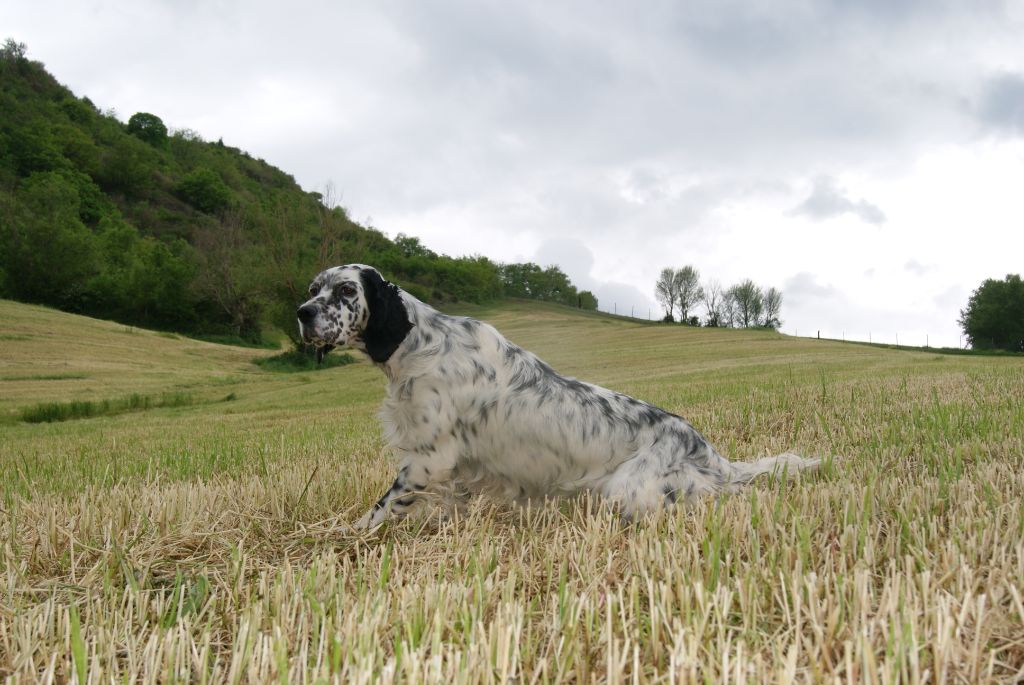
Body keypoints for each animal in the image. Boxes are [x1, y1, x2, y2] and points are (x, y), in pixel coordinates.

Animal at [294, 264, 815, 528]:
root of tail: (710, 453)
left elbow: (382, 507)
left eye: (346, 290)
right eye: (313, 288)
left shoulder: (429, 457)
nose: (302, 313)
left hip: (627, 490)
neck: (417, 342)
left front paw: (345, 539)